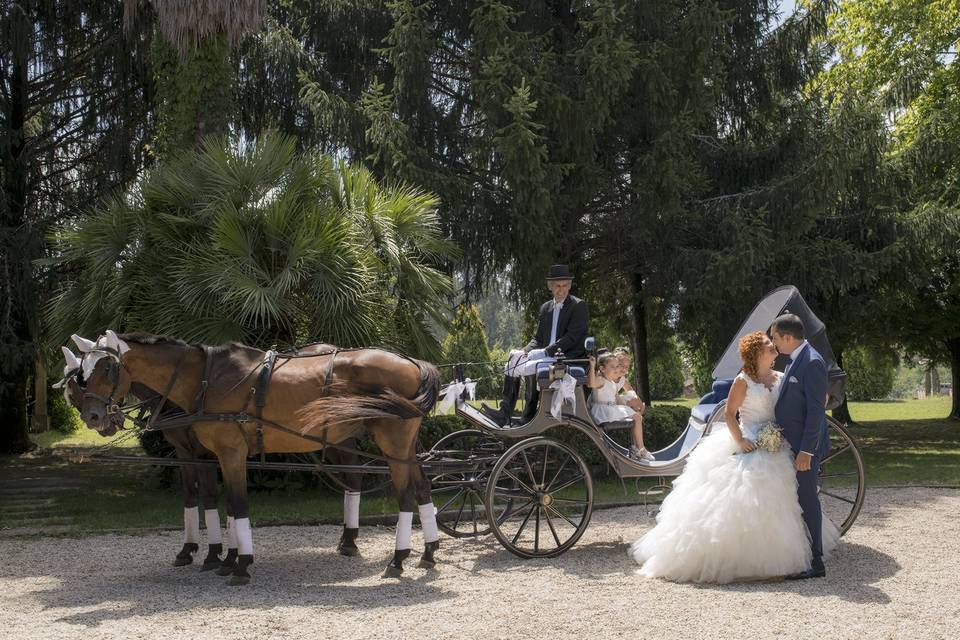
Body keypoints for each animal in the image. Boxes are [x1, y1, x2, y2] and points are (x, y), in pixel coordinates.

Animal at [77, 332, 440, 588]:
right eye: (82, 370)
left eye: (107, 367)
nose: (92, 415)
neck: (206, 379)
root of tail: (412, 363)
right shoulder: (213, 456)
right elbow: (222, 505)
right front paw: (226, 559)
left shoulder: (229, 452)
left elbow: (237, 505)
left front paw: (239, 564)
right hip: (405, 446)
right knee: (423, 490)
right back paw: (428, 551)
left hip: (392, 442)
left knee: (405, 495)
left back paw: (397, 559)